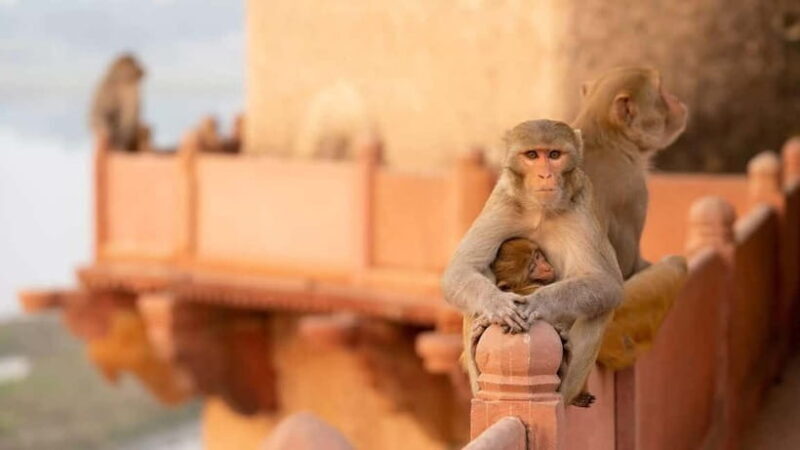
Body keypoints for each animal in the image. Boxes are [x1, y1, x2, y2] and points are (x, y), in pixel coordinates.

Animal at [442, 119, 624, 407]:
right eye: (532, 155)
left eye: (554, 155)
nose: (545, 175)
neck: (541, 209)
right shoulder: (503, 200)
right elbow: (461, 270)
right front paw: (498, 304)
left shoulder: (581, 204)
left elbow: (606, 283)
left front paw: (537, 303)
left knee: (600, 309)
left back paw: (565, 383)